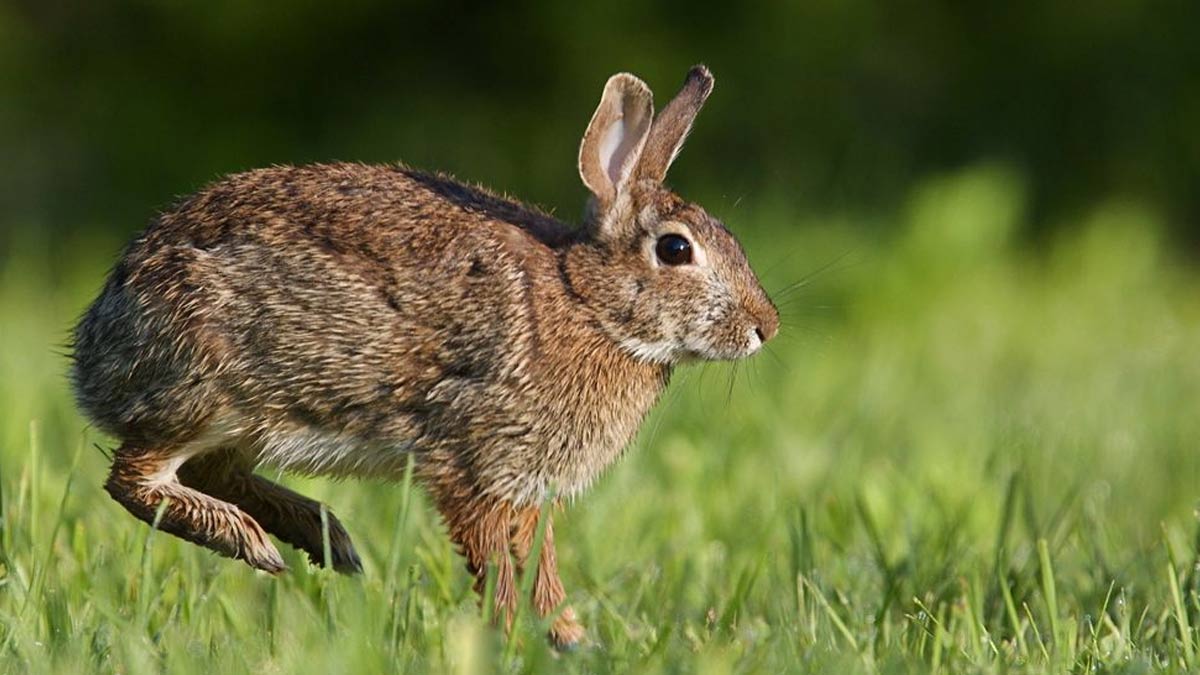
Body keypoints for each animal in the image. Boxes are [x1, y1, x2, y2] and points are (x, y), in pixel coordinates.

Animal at [70, 65, 778, 649]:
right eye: (675, 250)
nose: (764, 328)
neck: (587, 302)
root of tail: (96, 343)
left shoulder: (528, 488)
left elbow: (541, 568)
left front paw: (571, 642)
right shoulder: (474, 464)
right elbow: (500, 568)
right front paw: (515, 640)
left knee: (209, 471)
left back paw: (327, 540)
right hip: (209, 388)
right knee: (134, 479)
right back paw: (256, 542)